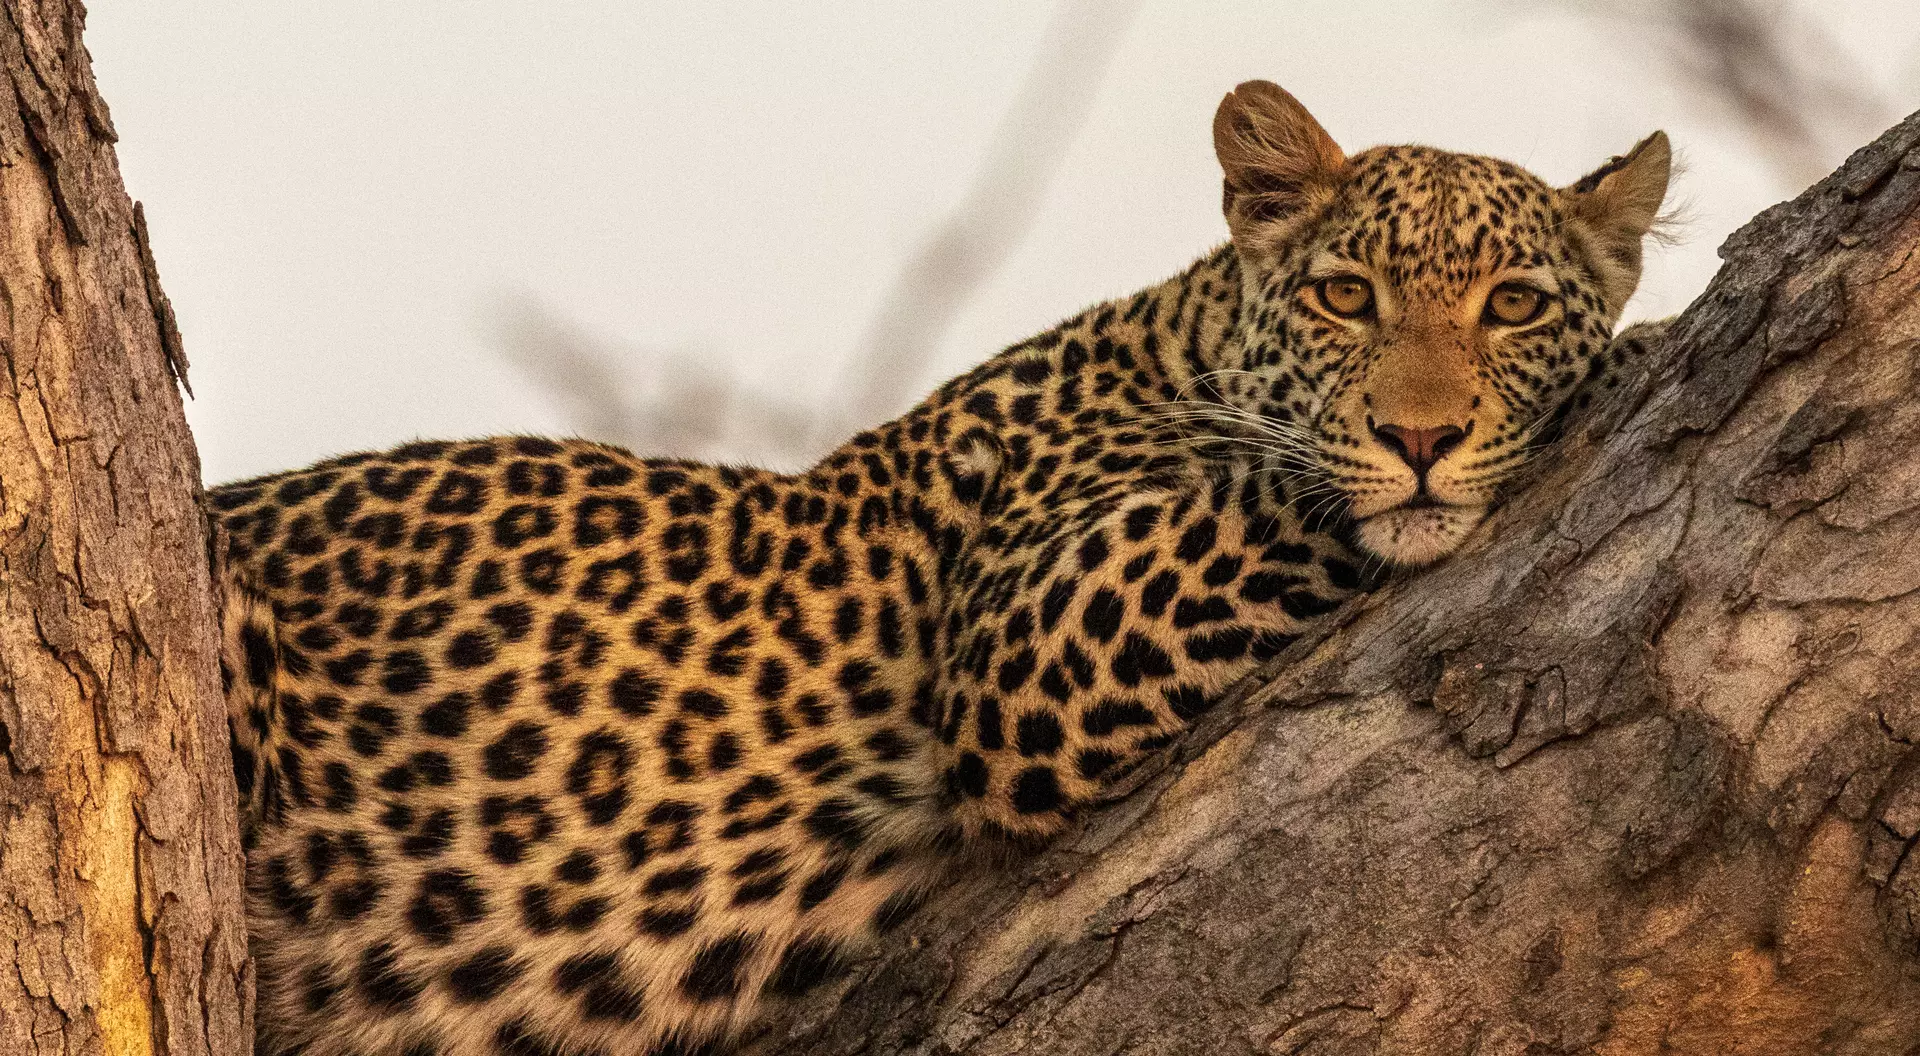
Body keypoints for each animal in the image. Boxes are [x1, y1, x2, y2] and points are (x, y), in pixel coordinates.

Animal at [210, 80, 1672, 1056]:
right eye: (1346, 298)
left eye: (1514, 306)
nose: (1422, 437)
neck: (1183, 337)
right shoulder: (1035, 640)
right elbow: (1283, 485)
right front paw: (1627, 358)